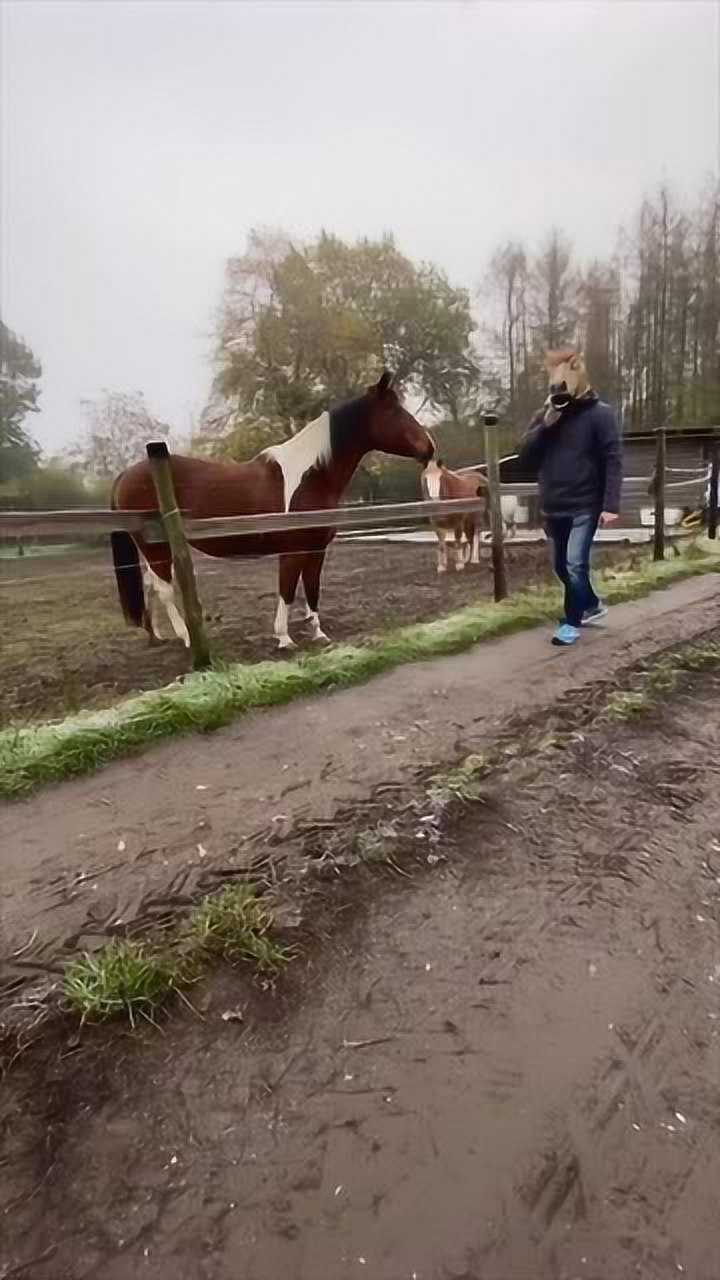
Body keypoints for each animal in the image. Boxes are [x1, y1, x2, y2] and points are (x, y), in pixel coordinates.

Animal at [109, 371, 427, 650]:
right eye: (394, 412)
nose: (430, 447)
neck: (311, 476)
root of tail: (126, 474)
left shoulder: (316, 549)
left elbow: (312, 589)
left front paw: (318, 634)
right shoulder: (293, 551)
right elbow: (287, 590)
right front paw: (284, 638)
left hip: (156, 549)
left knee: (150, 584)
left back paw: (158, 636)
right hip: (157, 549)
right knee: (163, 588)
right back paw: (186, 637)